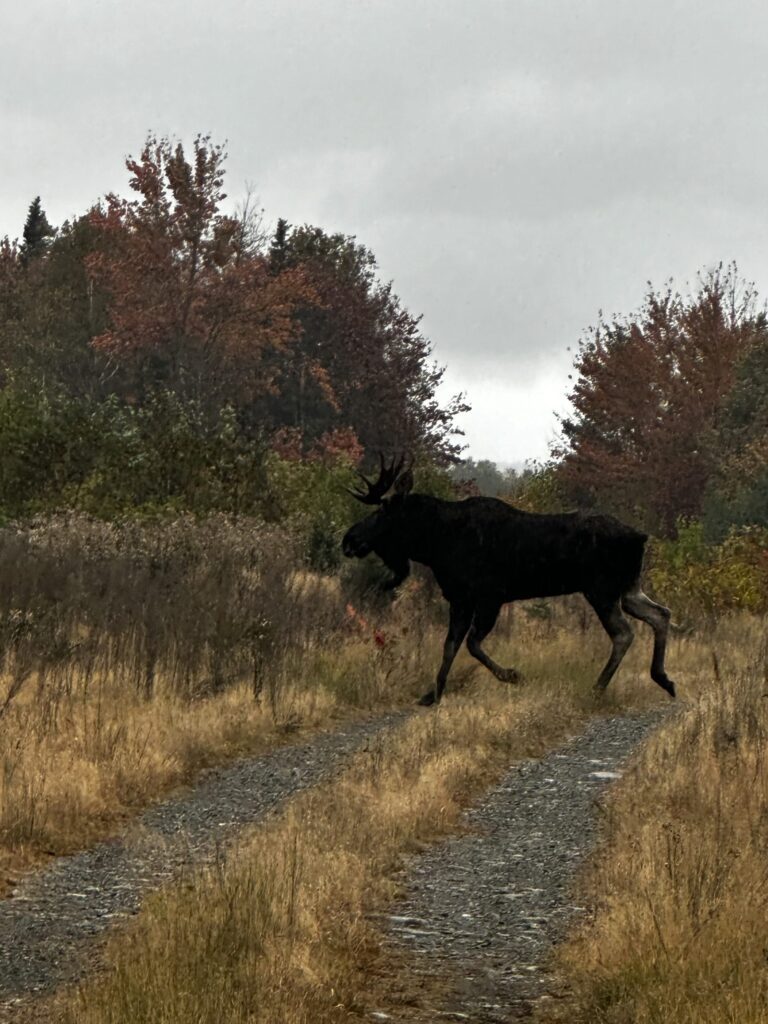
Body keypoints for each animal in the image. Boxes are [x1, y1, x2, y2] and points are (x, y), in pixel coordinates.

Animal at [341, 456, 675, 706]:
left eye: (383, 511)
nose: (349, 539)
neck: (435, 545)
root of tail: (640, 537)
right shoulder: (460, 598)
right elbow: (450, 645)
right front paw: (432, 694)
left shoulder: (490, 596)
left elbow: (471, 644)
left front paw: (512, 675)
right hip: (628, 589)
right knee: (661, 614)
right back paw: (663, 679)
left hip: (601, 590)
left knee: (624, 633)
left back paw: (598, 688)